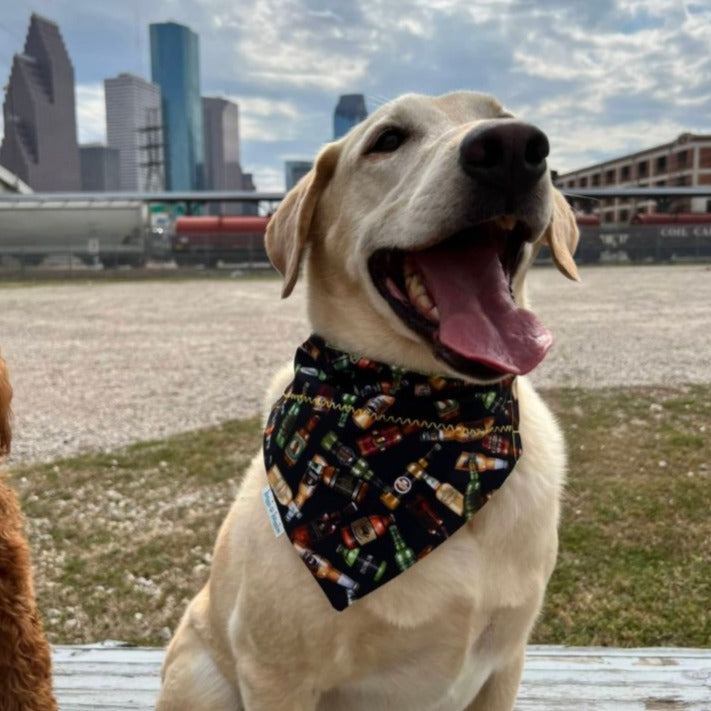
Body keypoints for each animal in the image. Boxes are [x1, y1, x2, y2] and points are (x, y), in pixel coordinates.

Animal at [156, 93, 580, 711]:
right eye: (388, 140)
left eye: (502, 117)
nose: (510, 148)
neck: (433, 424)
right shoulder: (275, 672)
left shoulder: (506, 661)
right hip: (202, 674)